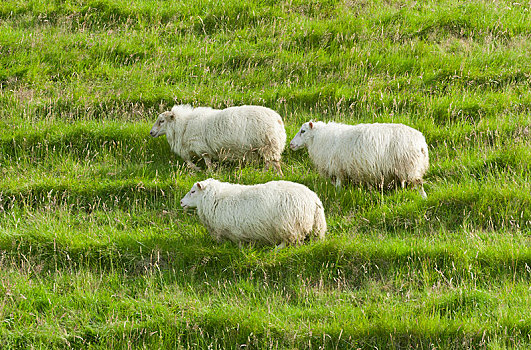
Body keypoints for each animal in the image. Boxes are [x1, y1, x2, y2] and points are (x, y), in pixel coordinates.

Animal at [150, 104, 288, 175]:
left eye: (161, 121)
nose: (151, 132)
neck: (184, 125)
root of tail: (278, 119)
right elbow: (187, 160)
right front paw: (198, 168)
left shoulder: (201, 147)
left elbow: (205, 161)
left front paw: (207, 171)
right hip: (267, 146)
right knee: (270, 162)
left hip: (268, 145)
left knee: (274, 163)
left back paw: (272, 174)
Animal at [181, 179, 326, 247]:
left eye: (193, 191)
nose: (181, 202)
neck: (215, 198)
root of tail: (313, 198)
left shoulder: (233, 232)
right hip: (316, 227)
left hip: (289, 225)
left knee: (291, 241)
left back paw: (276, 248)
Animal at [288, 120, 430, 197]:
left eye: (303, 131)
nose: (291, 144)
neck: (319, 138)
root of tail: (422, 143)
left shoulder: (338, 168)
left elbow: (338, 184)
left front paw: (338, 194)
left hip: (410, 166)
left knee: (419, 184)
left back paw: (423, 198)